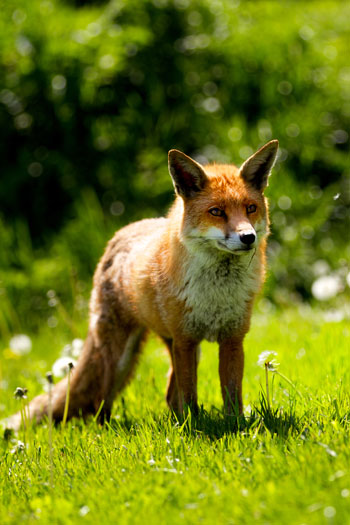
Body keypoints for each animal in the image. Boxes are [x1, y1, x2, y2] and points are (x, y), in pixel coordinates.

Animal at [4, 140, 278, 430]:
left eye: (250, 208)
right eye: (216, 212)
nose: (248, 237)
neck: (216, 293)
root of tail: (120, 234)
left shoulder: (232, 339)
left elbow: (232, 395)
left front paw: (235, 426)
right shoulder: (185, 340)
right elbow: (190, 395)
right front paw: (195, 426)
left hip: (177, 346)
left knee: (169, 395)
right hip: (120, 356)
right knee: (102, 400)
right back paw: (107, 430)